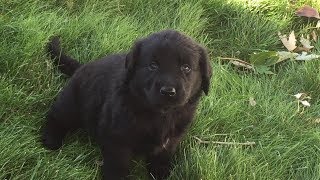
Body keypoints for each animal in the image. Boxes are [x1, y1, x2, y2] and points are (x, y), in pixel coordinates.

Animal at [42, 30, 212, 179]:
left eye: (186, 67)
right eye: (153, 66)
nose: (168, 91)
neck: (160, 115)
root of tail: (81, 67)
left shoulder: (171, 140)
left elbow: (162, 157)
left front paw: (160, 173)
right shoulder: (117, 140)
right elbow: (118, 165)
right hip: (72, 103)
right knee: (56, 116)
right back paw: (51, 139)